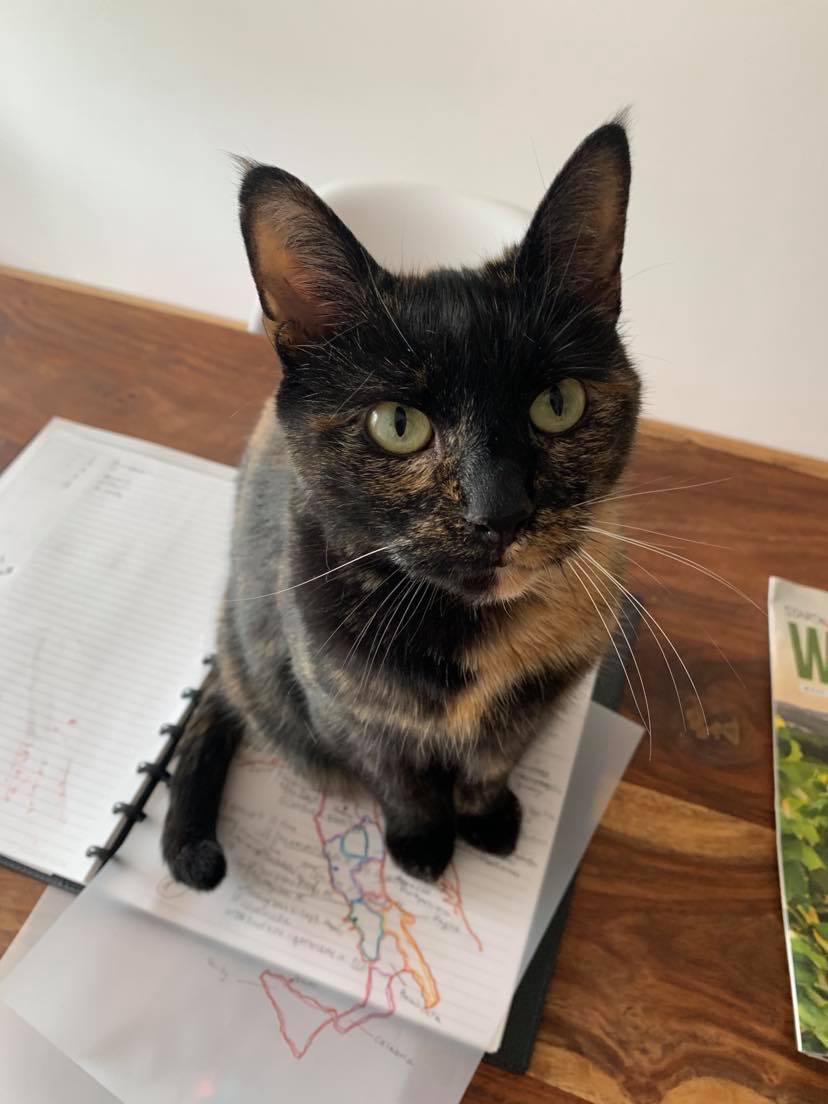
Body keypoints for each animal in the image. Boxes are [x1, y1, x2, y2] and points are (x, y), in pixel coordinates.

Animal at [162, 120, 640, 892]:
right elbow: (400, 780)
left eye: (558, 403)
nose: (499, 512)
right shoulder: (344, 708)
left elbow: (491, 761)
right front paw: (421, 844)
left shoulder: (538, 697)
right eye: (398, 424)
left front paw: (486, 818)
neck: (468, 636)